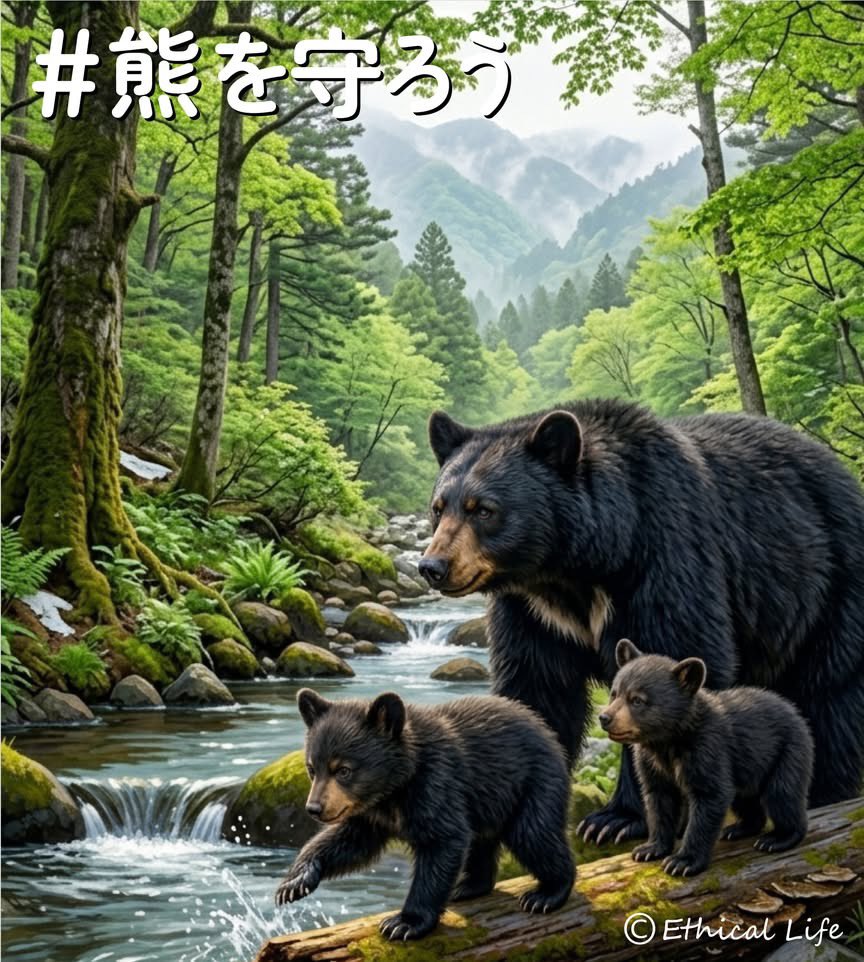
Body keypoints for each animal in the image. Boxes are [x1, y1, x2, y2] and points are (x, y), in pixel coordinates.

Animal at [275, 688, 575, 941]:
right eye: (312, 768)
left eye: (344, 770)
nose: (314, 808)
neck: (394, 788)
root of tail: (546, 731)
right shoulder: (372, 813)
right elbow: (350, 842)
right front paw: (294, 882)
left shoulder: (437, 784)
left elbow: (443, 842)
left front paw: (404, 923)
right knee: (482, 841)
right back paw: (468, 887)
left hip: (535, 782)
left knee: (533, 834)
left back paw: (548, 894)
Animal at [601, 639, 813, 876]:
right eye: (614, 693)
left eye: (637, 700)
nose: (604, 718)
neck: (667, 741)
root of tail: (796, 713)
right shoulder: (650, 761)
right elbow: (659, 799)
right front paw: (649, 849)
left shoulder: (708, 748)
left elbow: (709, 796)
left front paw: (682, 861)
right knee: (745, 799)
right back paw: (739, 828)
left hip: (788, 751)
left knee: (782, 795)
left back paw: (778, 838)